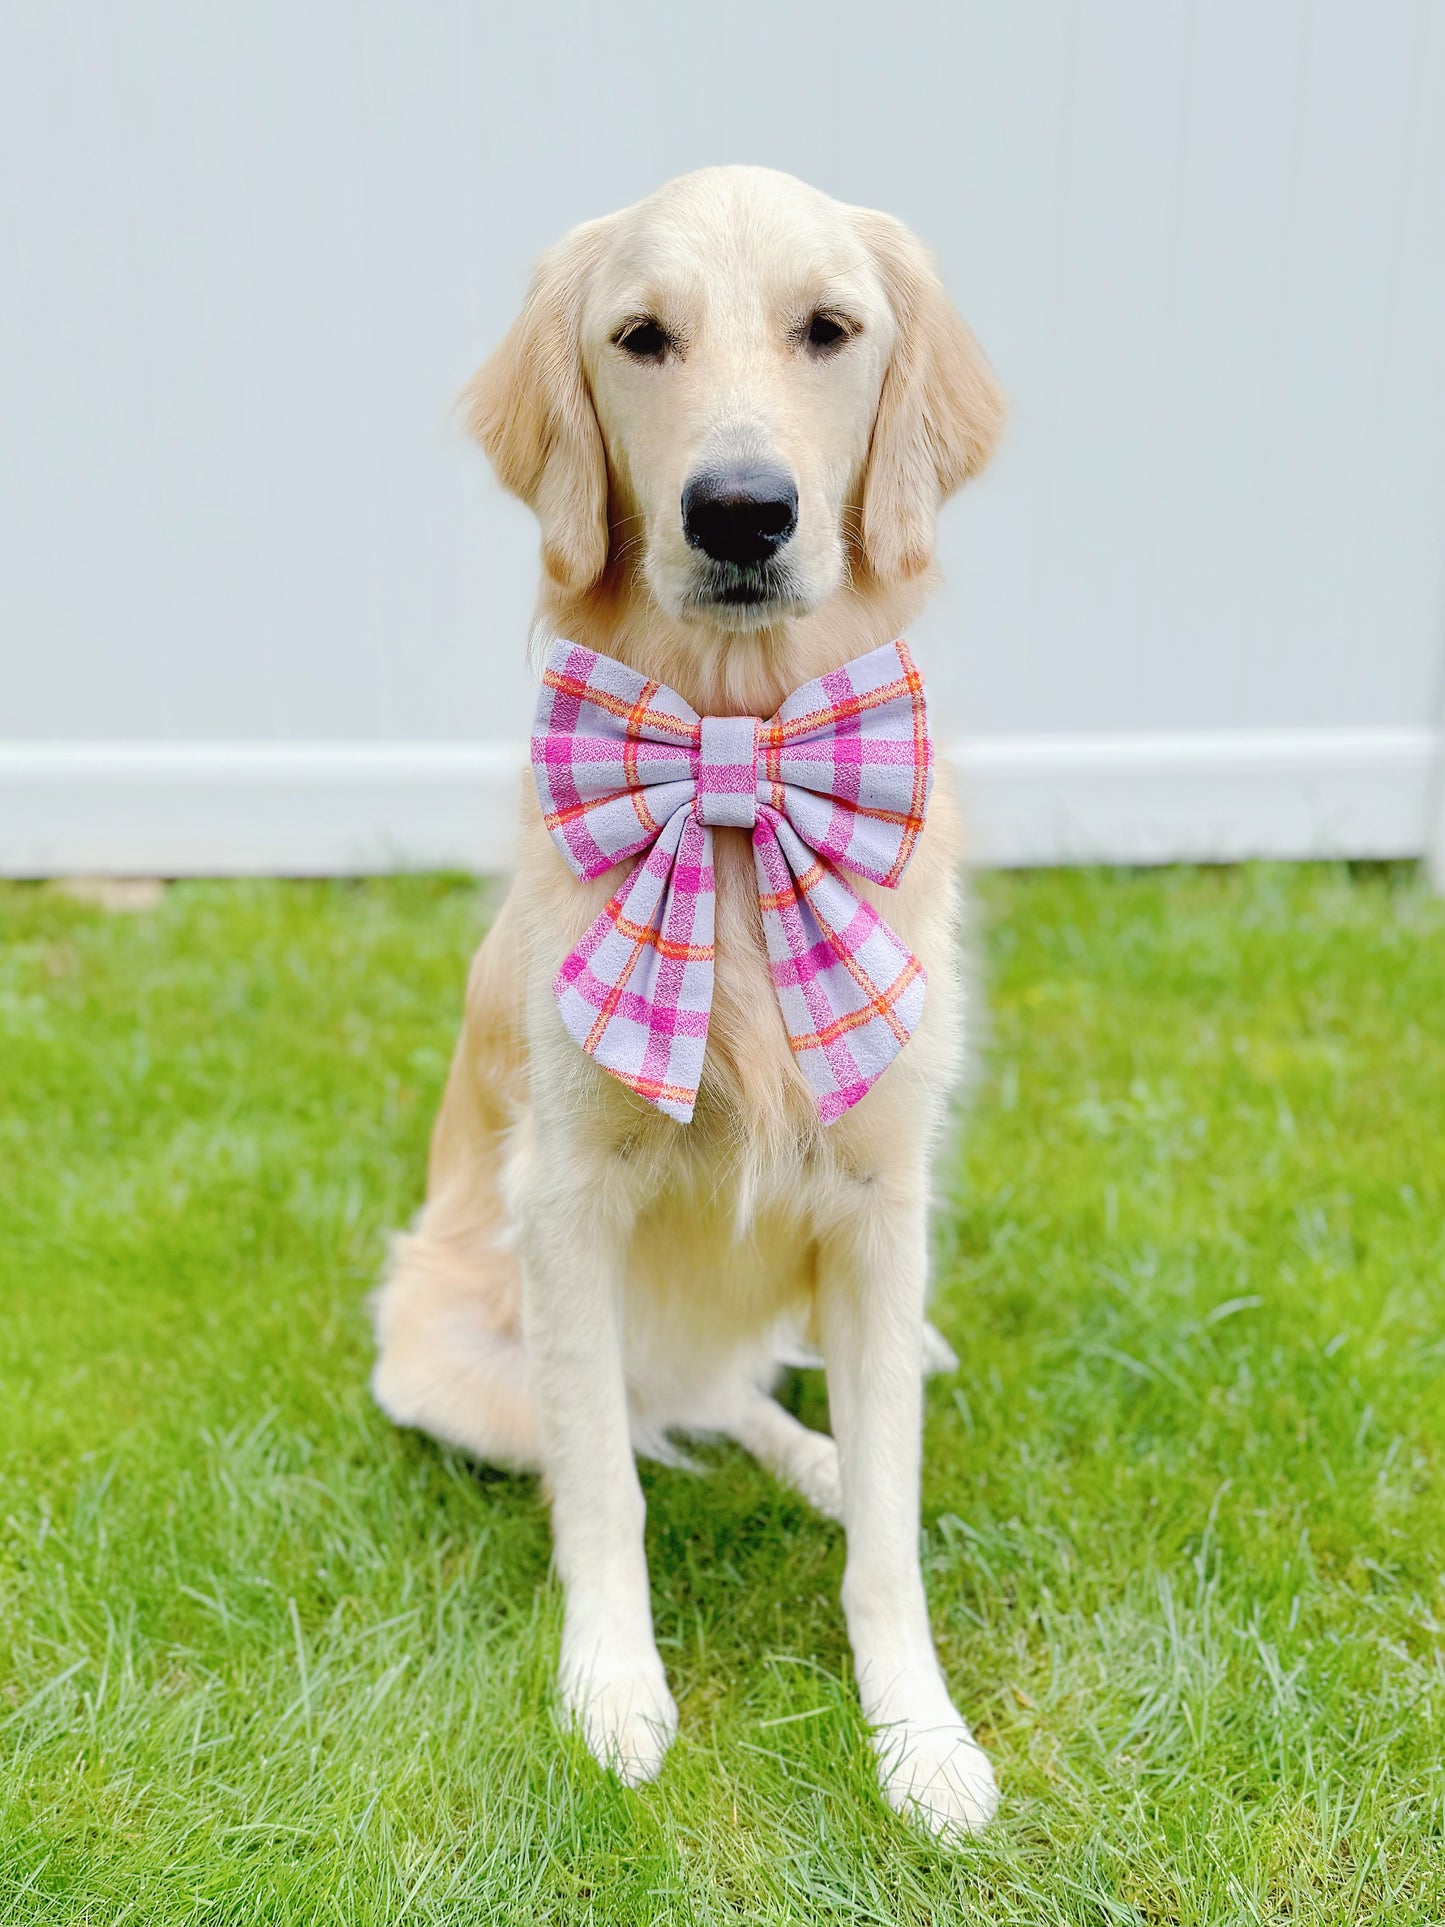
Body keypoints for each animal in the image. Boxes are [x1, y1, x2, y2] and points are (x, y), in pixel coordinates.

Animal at [373, 169, 1009, 1834]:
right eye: (641, 337)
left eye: (828, 329)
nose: (738, 509)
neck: (733, 766)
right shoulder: (567, 1197)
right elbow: (606, 1487)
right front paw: (612, 1688)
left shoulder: (880, 1199)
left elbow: (889, 1539)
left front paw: (919, 1735)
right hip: (447, 1359)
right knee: (668, 1410)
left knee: (763, 1398)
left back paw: (829, 1448)